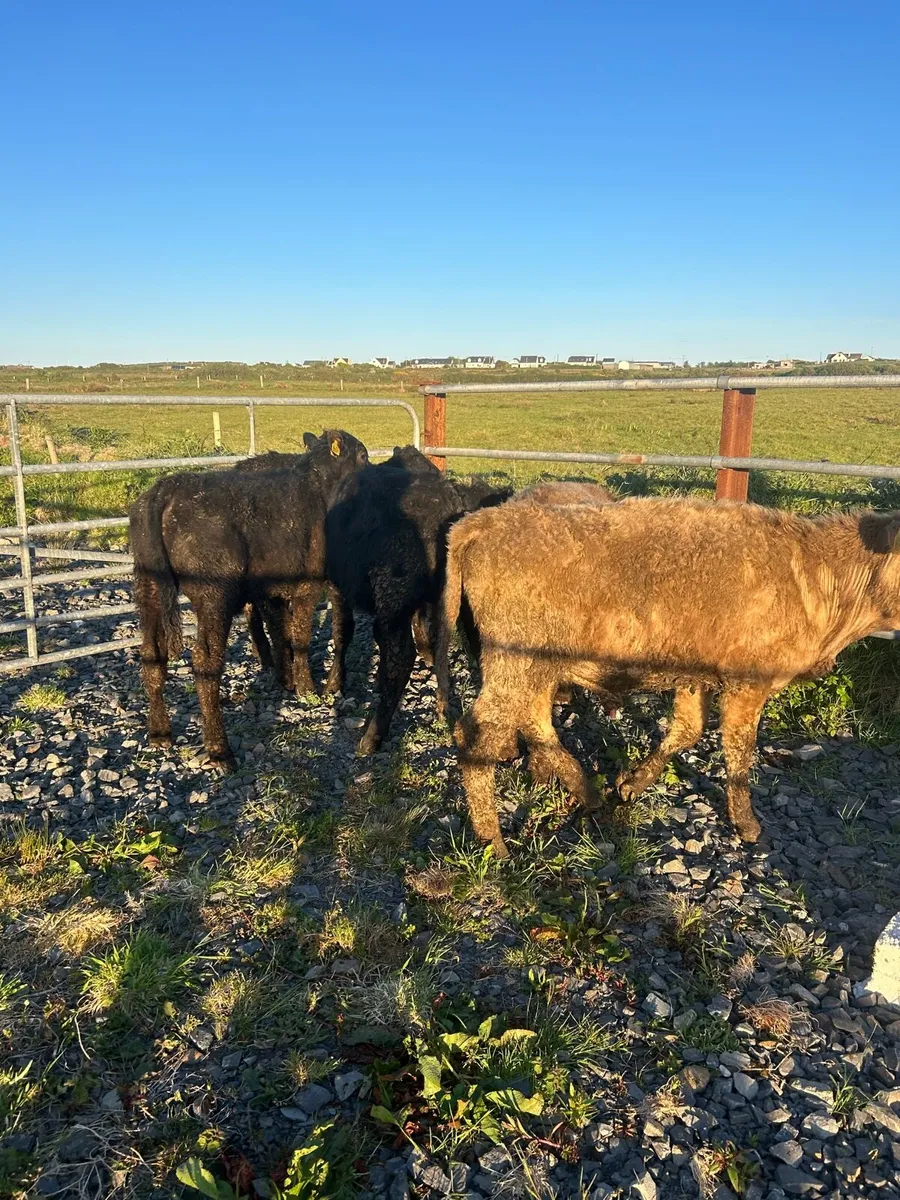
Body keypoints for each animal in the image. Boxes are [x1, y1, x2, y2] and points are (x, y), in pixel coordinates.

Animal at [130, 429, 369, 772]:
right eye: (363, 456)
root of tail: (166, 488)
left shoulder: (275, 587)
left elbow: (283, 631)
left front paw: (288, 681)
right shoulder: (311, 581)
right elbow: (308, 636)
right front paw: (310, 688)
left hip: (148, 588)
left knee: (152, 654)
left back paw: (159, 732)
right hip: (215, 594)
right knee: (205, 662)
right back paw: (219, 750)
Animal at [325, 461, 511, 755]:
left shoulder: (337, 584)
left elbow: (342, 631)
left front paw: (334, 683)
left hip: (393, 592)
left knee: (402, 658)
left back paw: (372, 736)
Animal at [437, 497, 900, 857]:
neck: (817, 574)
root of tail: (481, 522)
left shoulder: (695, 677)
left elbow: (686, 731)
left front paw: (631, 782)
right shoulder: (747, 684)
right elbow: (738, 753)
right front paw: (746, 823)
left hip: (535, 668)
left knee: (535, 723)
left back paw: (586, 791)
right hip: (514, 664)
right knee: (478, 735)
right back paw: (493, 843)